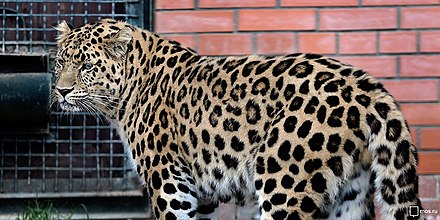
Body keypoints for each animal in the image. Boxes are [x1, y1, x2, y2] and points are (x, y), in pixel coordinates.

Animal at [54, 19, 422, 220]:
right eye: (60, 62)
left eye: (87, 66)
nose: (60, 90)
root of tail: (365, 86)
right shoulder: (199, 193)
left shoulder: (168, 182)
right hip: (350, 195)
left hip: (283, 185)